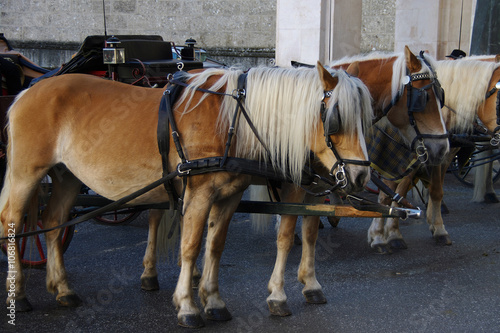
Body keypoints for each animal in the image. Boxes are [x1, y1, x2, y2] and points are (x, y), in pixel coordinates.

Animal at [0, 62, 374, 326]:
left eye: (366, 121)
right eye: (335, 120)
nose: (359, 176)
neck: (234, 121)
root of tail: (26, 93)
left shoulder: (229, 196)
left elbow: (215, 245)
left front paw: (214, 301)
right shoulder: (201, 193)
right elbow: (192, 246)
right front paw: (188, 305)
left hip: (66, 177)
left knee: (53, 220)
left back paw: (63, 289)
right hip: (26, 173)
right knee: (13, 222)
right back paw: (18, 292)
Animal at [246, 46, 450, 314]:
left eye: (441, 96)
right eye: (423, 99)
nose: (443, 148)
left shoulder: (322, 183)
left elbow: (311, 231)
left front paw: (310, 283)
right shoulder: (297, 184)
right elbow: (287, 234)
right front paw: (278, 293)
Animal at [370, 59, 500, 252]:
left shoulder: (441, 157)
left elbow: (436, 191)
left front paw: (438, 229)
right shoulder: (398, 163)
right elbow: (391, 195)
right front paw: (387, 234)